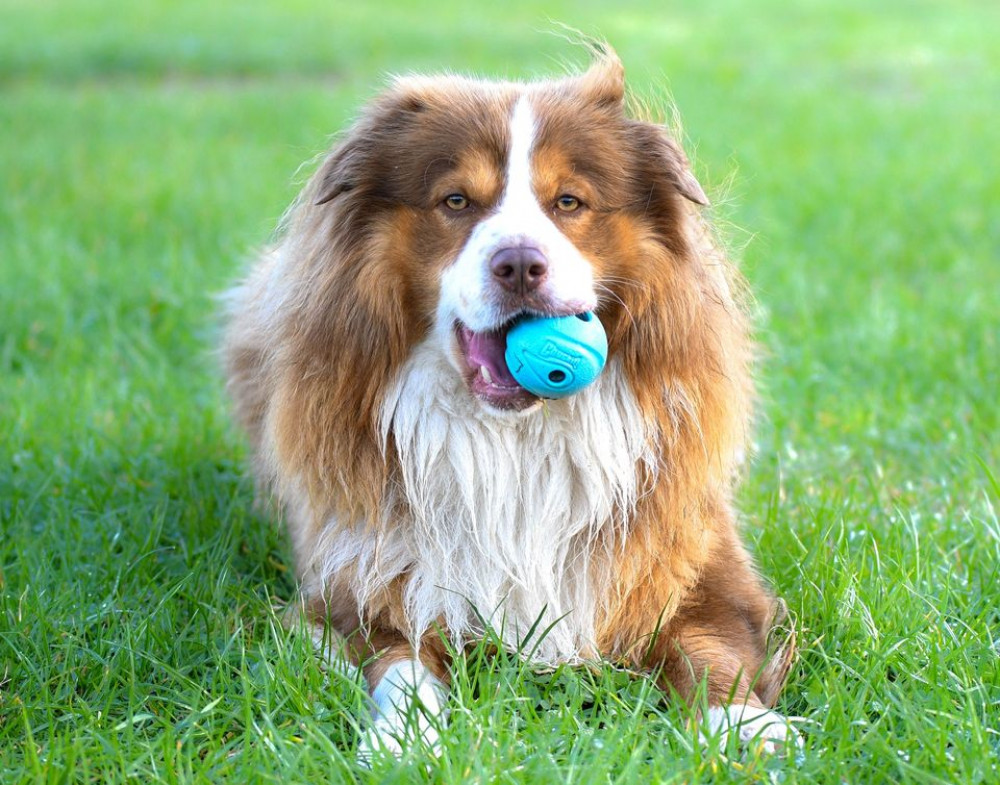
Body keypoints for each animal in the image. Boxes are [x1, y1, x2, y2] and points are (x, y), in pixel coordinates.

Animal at [225, 47, 796, 760]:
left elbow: (711, 651)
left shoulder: (700, 568)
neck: (516, 443)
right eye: (456, 200)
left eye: (569, 201)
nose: (520, 264)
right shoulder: (359, 585)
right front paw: (404, 740)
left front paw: (746, 726)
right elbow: (403, 665)